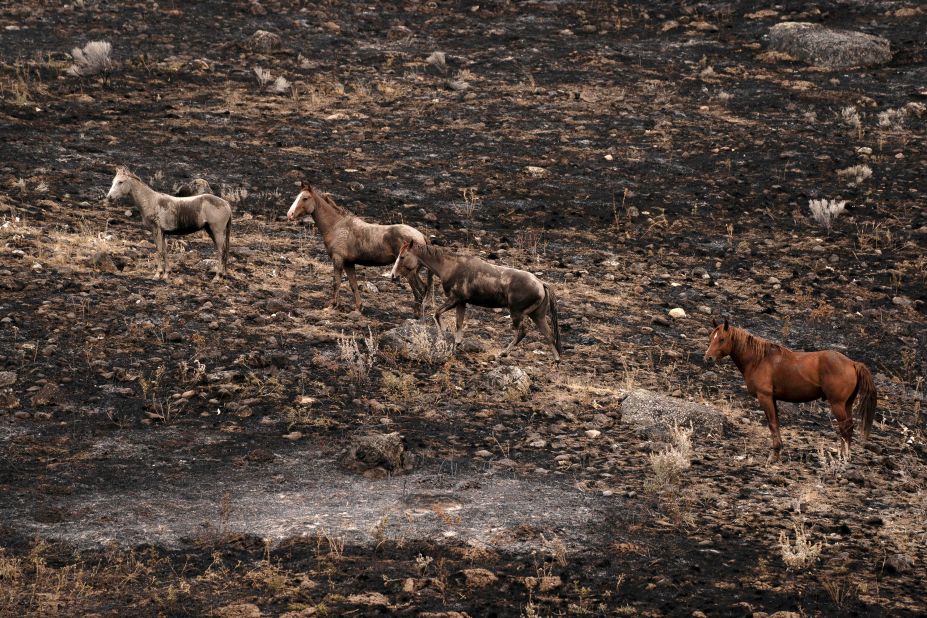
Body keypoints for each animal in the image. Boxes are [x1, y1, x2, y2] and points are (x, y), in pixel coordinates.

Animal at [704, 320, 876, 460]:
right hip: (847, 404)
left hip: (837, 404)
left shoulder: (765, 397)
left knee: (845, 428)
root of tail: (852, 363)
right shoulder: (773, 399)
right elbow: (776, 423)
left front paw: (773, 456)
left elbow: (772, 424)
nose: (708, 358)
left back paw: (843, 456)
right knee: (849, 427)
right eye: (711, 338)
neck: (759, 359)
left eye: (721, 339)